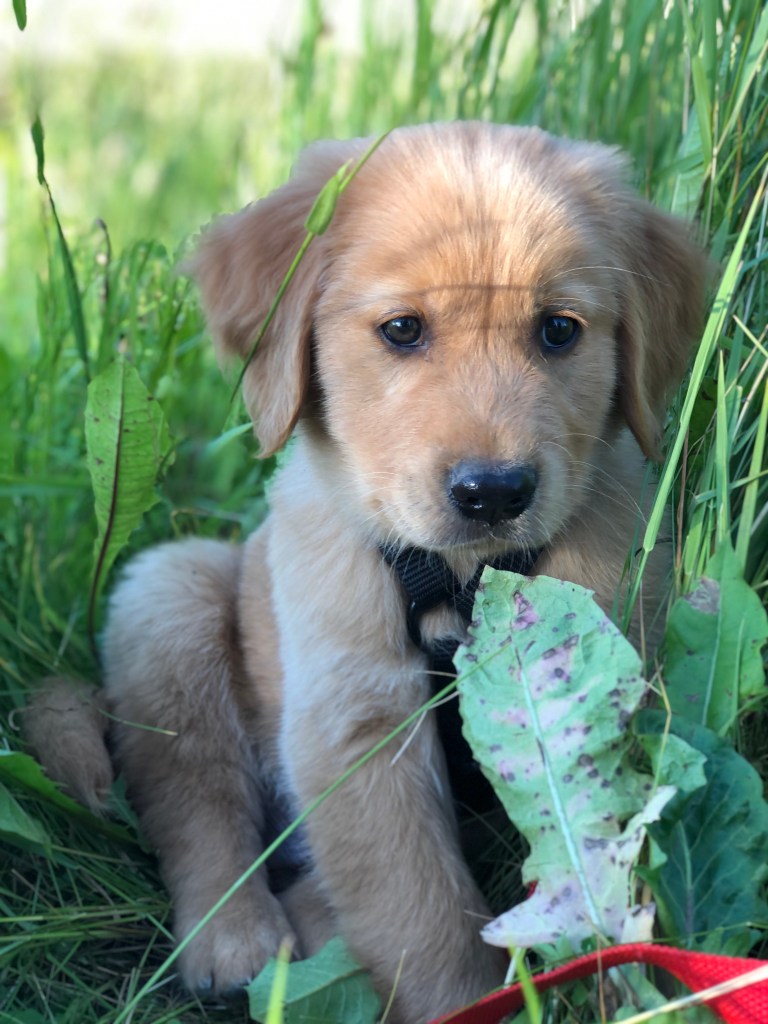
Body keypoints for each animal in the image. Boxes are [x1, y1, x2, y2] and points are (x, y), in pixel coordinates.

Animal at [26, 122, 707, 1023]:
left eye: (559, 331)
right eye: (403, 329)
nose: (493, 492)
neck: (461, 577)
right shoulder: (354, 723)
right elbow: (416, 910)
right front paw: (463, 999)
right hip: (170, 589)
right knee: (195, 800)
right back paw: (233, 939)